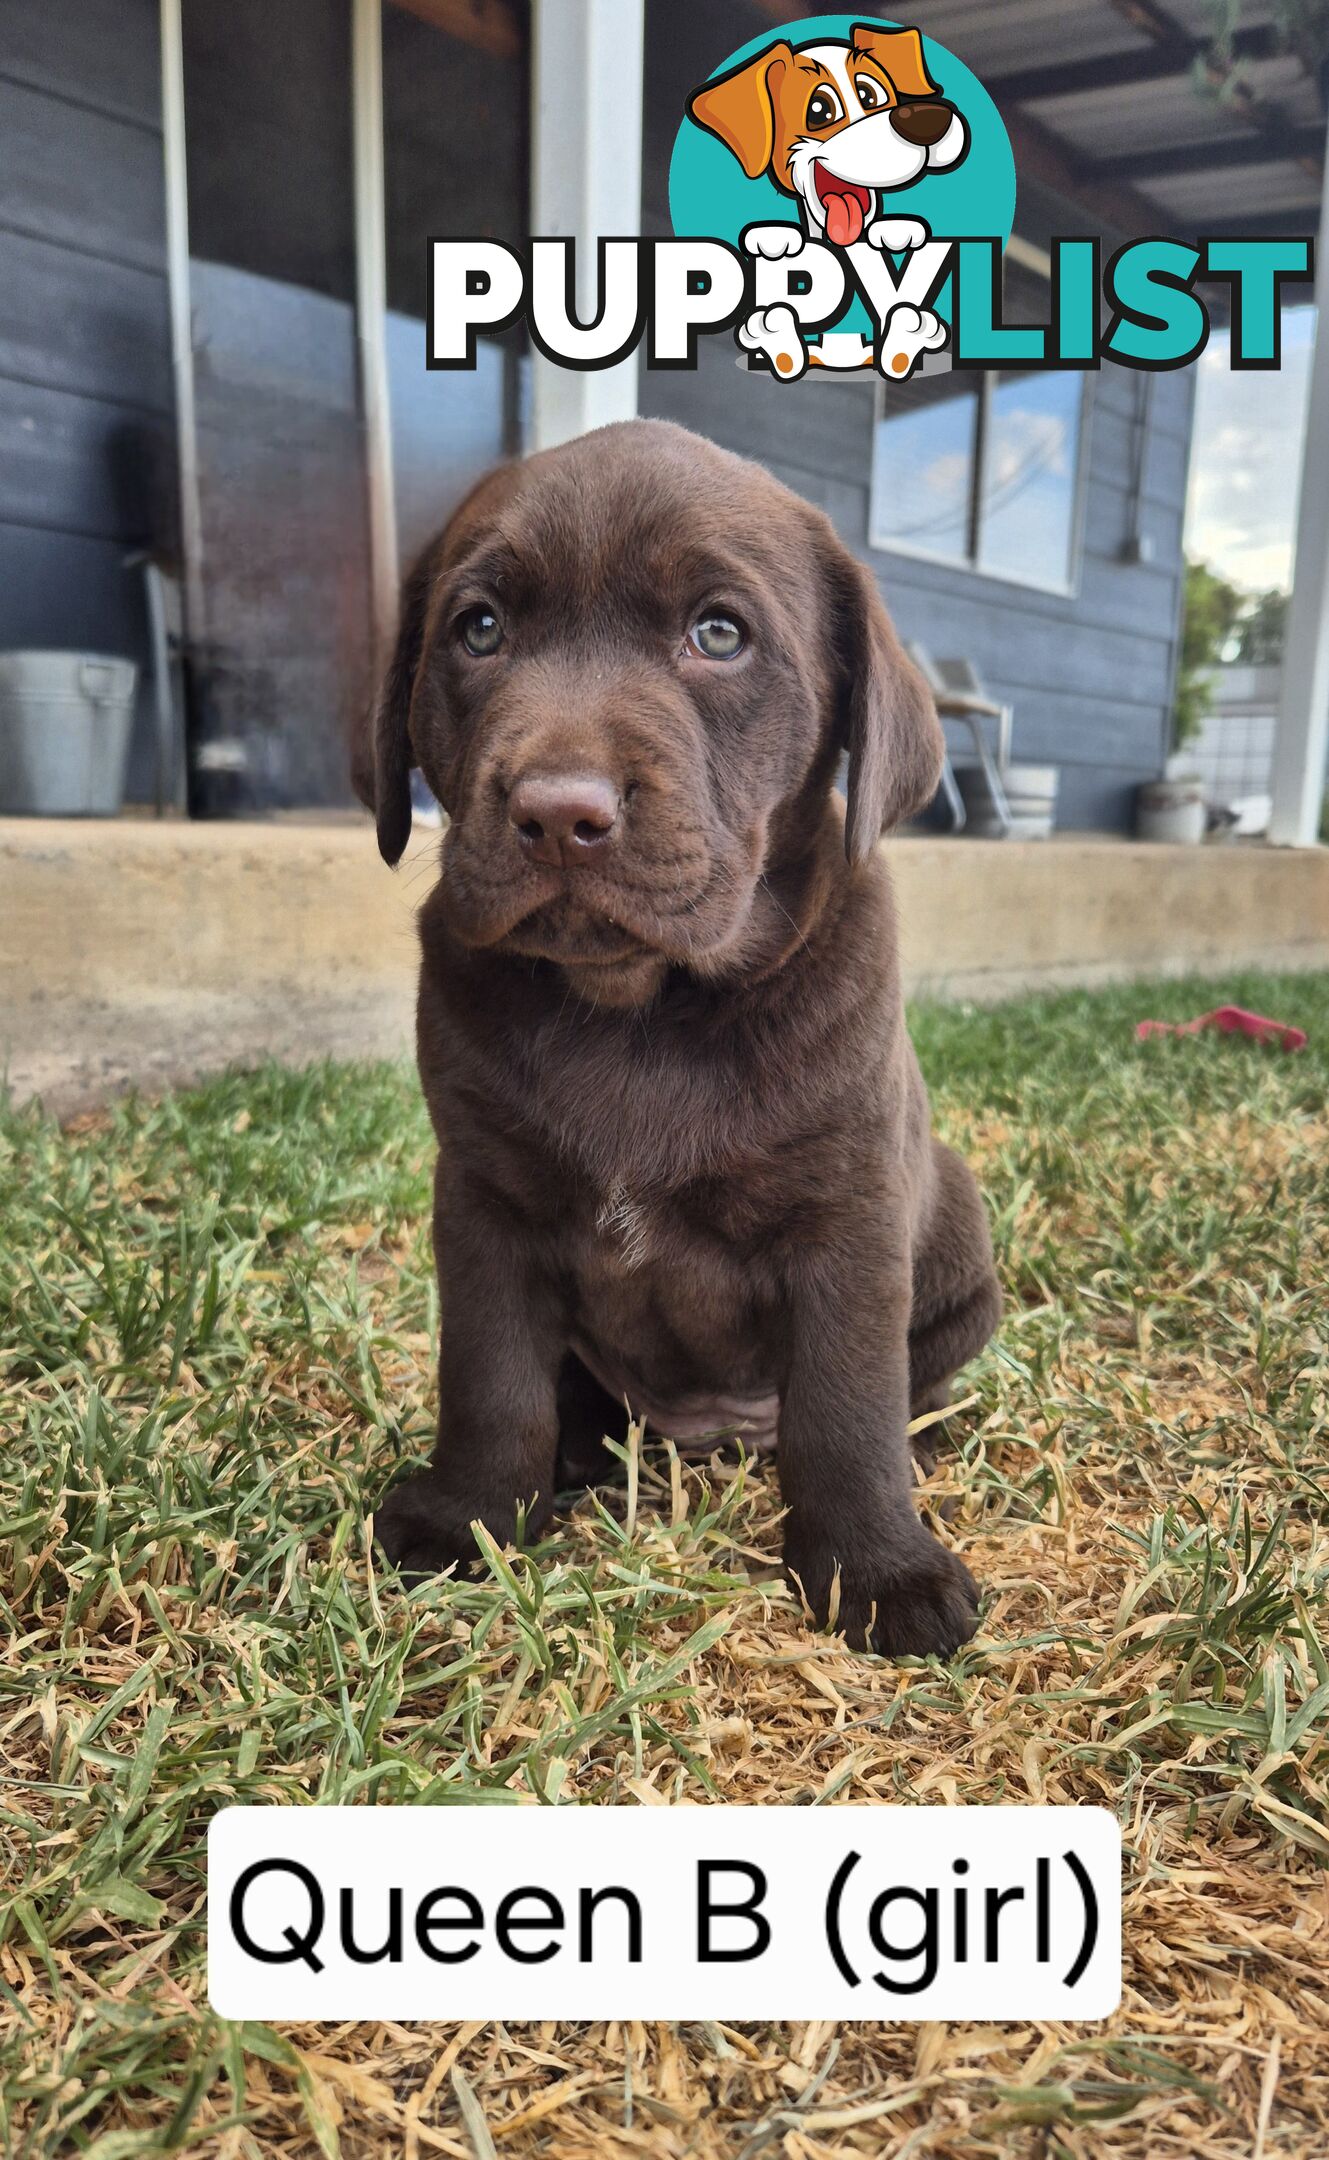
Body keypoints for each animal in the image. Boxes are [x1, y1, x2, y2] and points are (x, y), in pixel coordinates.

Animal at [354, 425, 998, 1667]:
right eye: (479, 629)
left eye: (719, 634)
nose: (559, 813)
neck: (638, 1008)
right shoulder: (482, 1200)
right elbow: (490, 1377)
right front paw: (471, 1519)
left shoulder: (849, 1217)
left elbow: (847, 1406)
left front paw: (876, 1570)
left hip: (957, 1237)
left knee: (899, 1390)